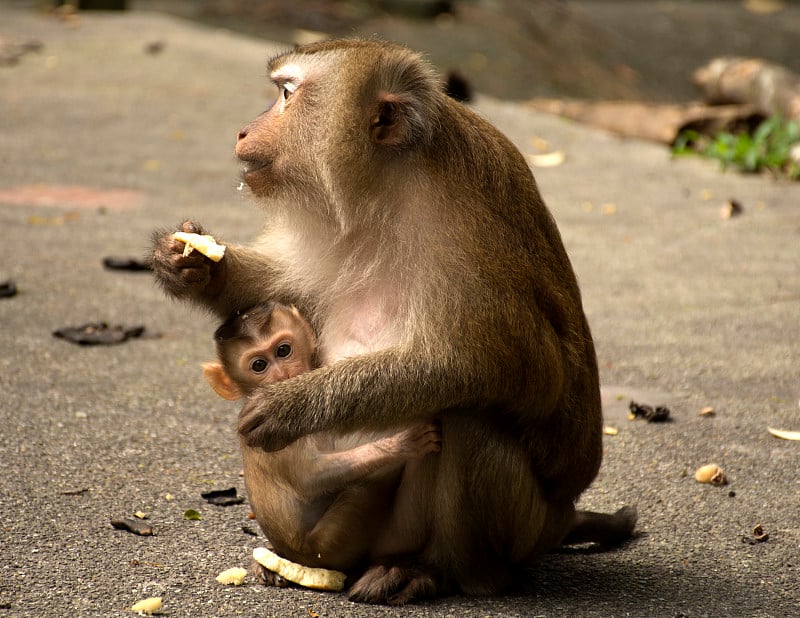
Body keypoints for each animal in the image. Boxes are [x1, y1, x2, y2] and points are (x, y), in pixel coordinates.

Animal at [203, 300, 440, 576]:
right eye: (259, 365)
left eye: (284, 350)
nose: (283, 374)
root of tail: (298, 555)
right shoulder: (269, 433)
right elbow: (308, 478)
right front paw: (400, 445)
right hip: (328, 545)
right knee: (369, 484)